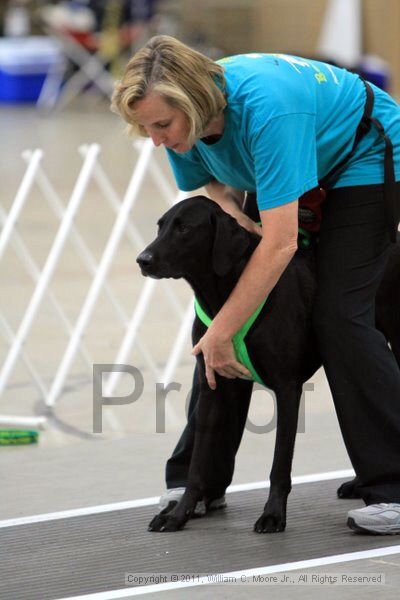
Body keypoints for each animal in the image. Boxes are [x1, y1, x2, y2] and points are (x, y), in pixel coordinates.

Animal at [137, 197, 400, 536]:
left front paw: (273, 514)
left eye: (184, 228)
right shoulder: (213, 386)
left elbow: (279, 464)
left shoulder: (288, 388)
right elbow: (198, 465)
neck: (227, 293)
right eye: (161, 226)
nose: (142, 260)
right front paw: (180, 513)